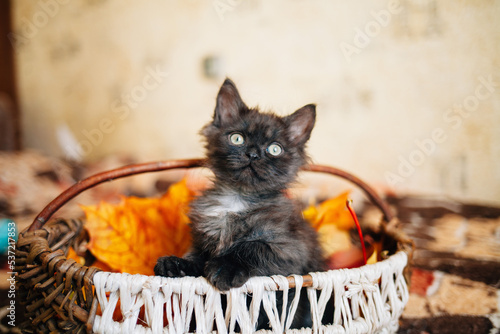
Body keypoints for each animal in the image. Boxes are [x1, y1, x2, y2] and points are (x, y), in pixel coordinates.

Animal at [154, 78, 324, 326]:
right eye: (237, 138)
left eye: (274, 149)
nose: (253, 154)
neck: (236, 198)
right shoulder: (202, 240)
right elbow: (197, 257)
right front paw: (176, 264)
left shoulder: (290, 249)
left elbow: (251, 246)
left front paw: (225, 268)